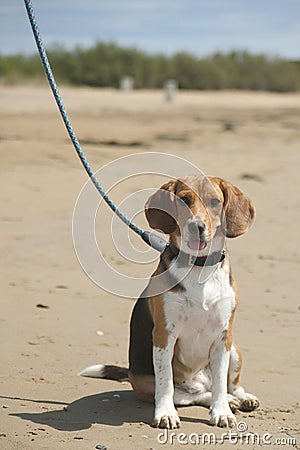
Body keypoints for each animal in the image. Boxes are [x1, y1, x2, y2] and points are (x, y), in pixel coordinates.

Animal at [80, 173, 260, 428]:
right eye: (184, 199)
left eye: (215, 202)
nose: (197, 227)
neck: (198, 267)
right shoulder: (164, 334)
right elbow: (165, 382)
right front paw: (165, 414)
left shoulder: (223, 335)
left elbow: (220, 383)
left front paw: (222, 412)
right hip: (150, 383)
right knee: (192, 395)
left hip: (233, 349)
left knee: (226, 386)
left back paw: (239, 398)